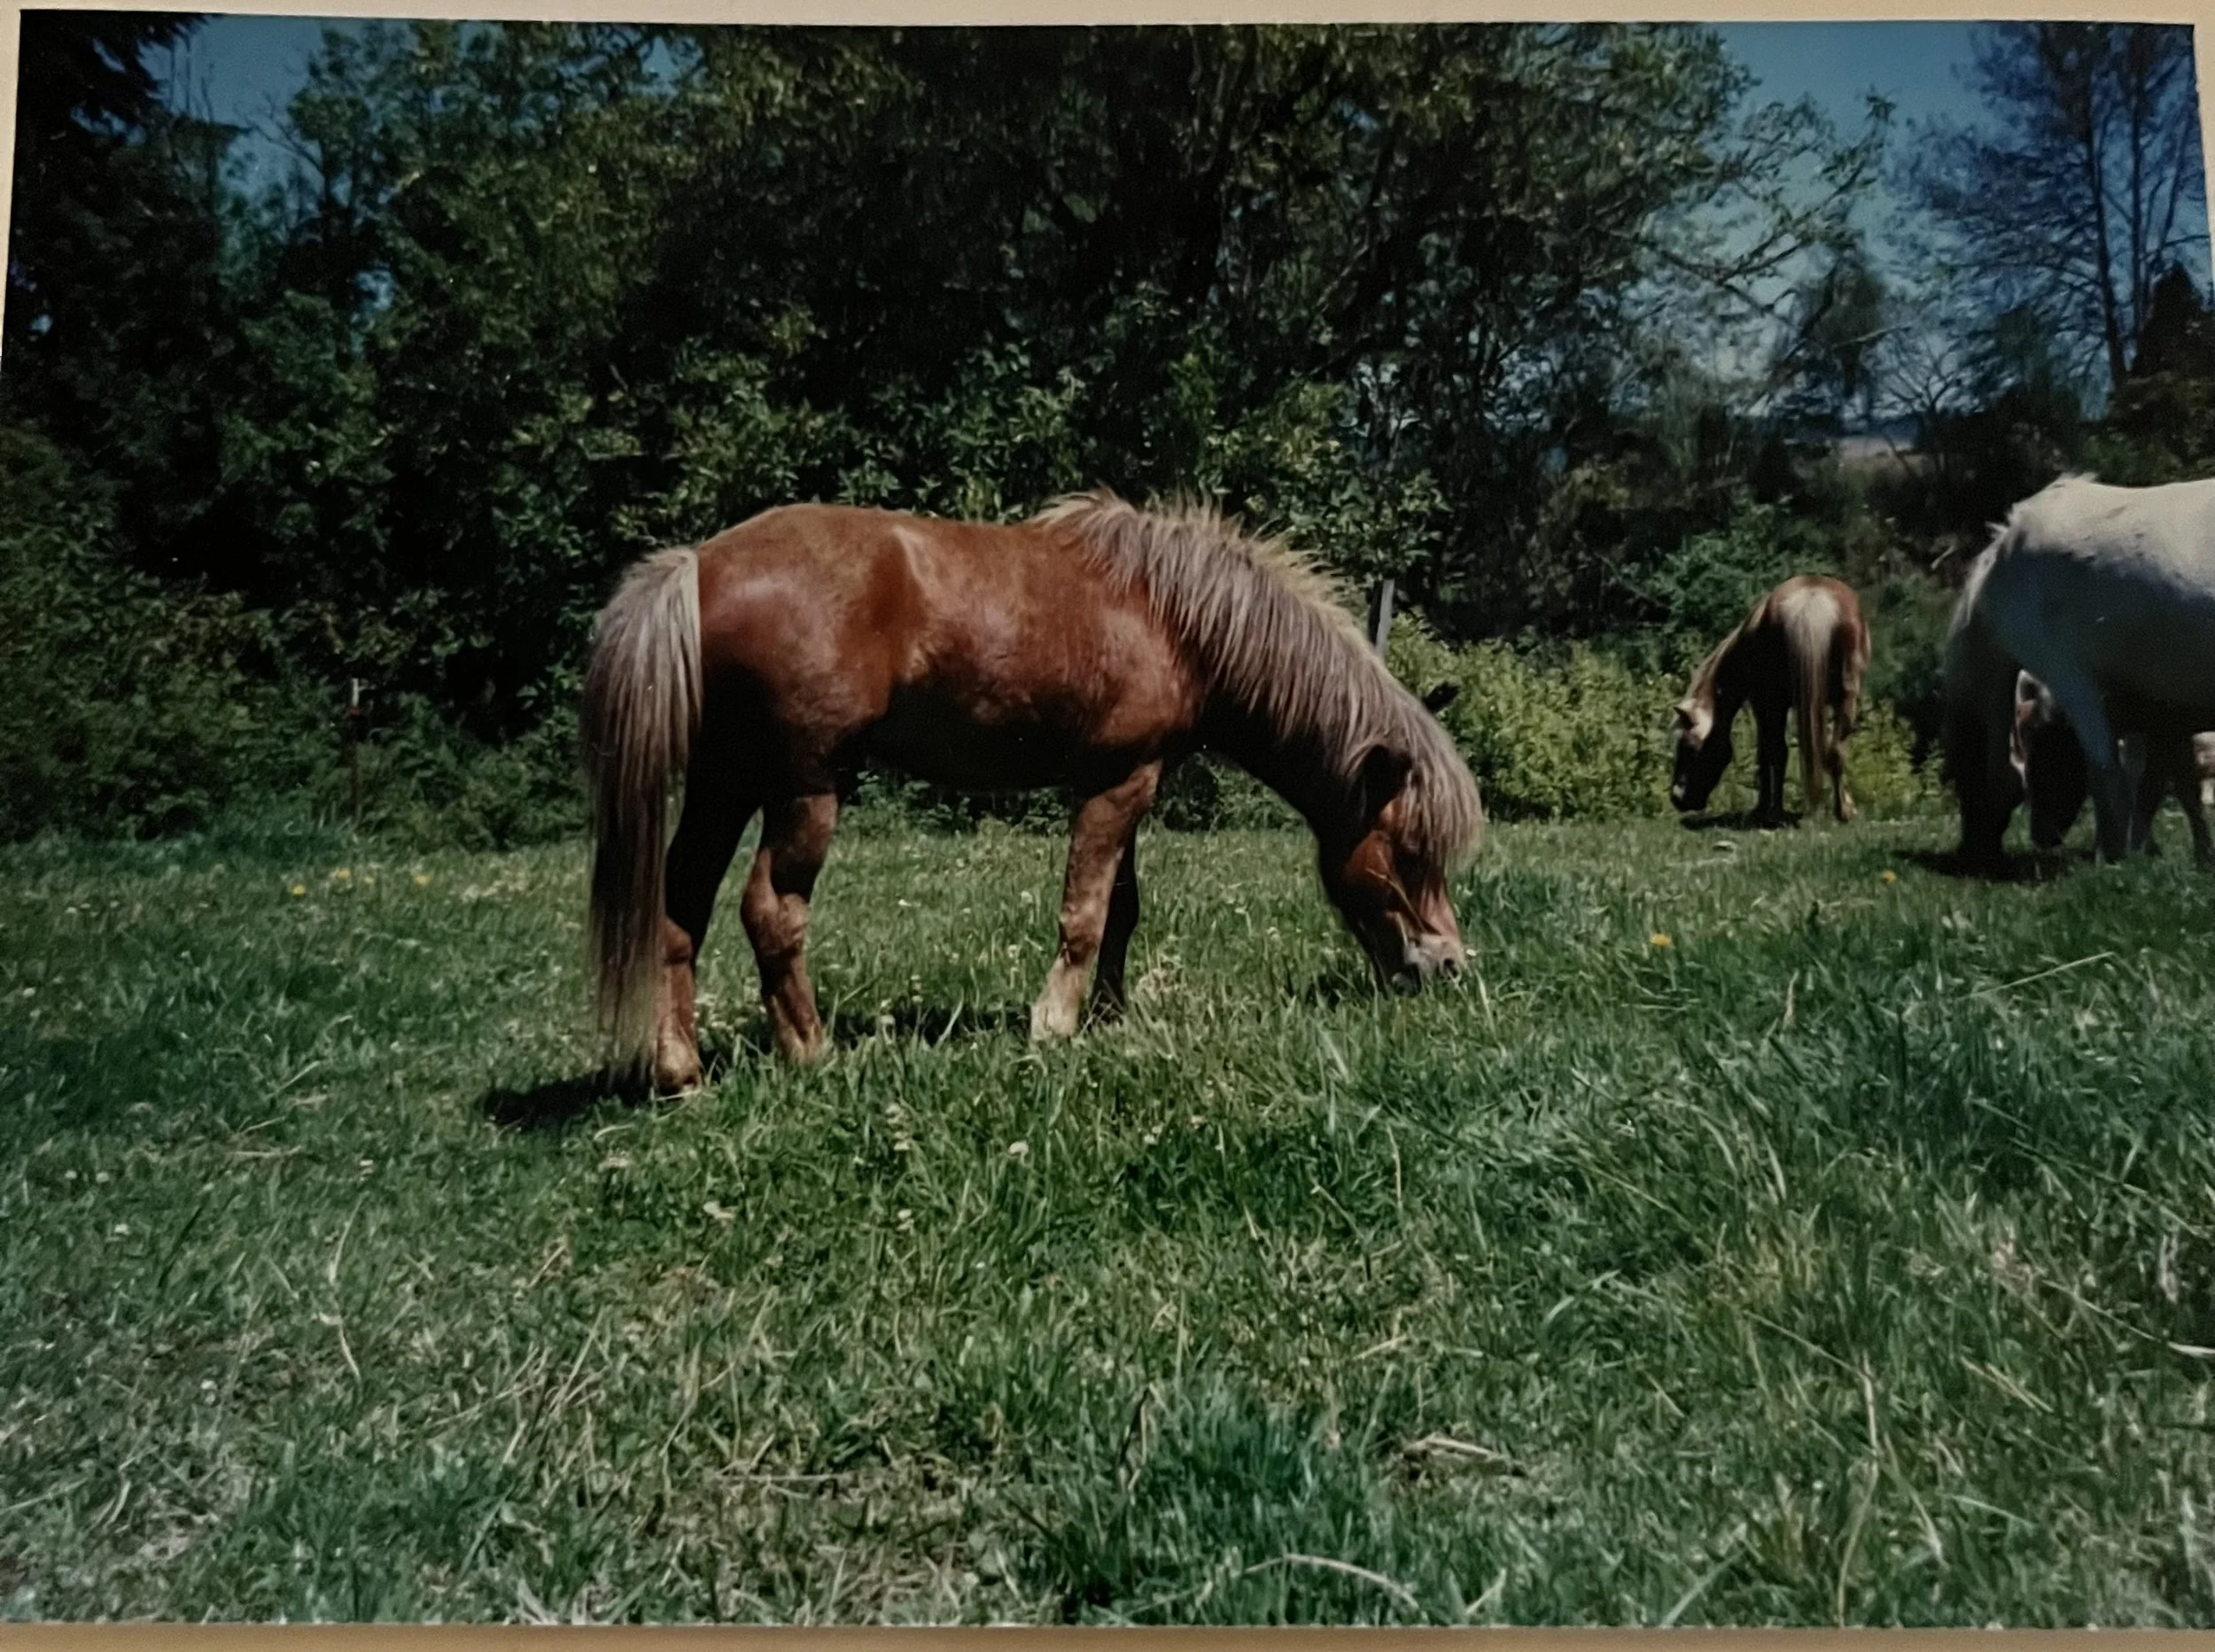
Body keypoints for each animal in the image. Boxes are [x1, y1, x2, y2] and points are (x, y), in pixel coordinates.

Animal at [581, 491, 1484, 1089]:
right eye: (1409, 849)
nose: (1448, 965)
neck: (1173, 616)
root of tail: (698, 567)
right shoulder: (1117, 782)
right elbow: (1083, 912)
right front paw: (1054, 1024)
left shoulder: (1126, 781)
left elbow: (1121, 909)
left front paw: (1110, 1016)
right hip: (805, 788)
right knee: (771, 911)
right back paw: (812, 1052)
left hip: (724, 784)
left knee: (681, 904)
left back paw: (682, 1070)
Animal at [1669, 575, 1870, 824]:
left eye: (1689, 747)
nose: (1677, 798)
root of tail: (1812, 600)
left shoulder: (1763, 704)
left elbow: (1766, 754)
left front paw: (1764, 809)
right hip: (1846, 697)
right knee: (1836, 752)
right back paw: (1843, 811)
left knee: (1783, 752)